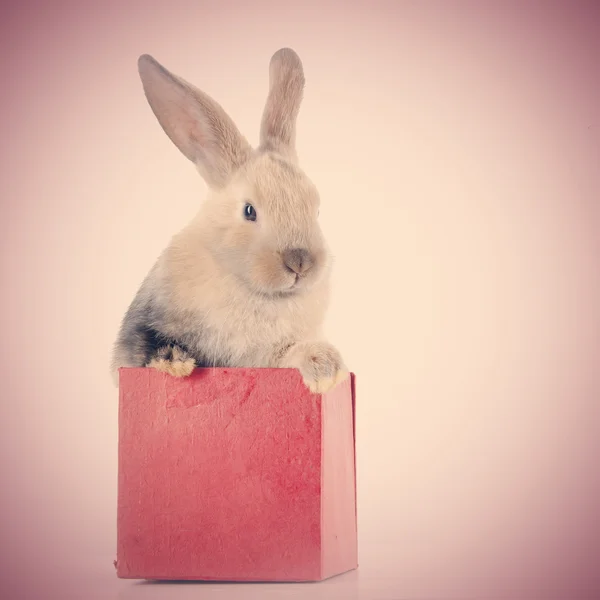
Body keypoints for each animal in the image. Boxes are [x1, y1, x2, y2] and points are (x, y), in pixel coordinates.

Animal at [110, 48, 350, 394]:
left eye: (316, 209)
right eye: (249, 211)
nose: (300, 263)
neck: (255, 293)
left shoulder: (272, 354)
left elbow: (291, 352)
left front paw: (325, 368)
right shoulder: (140, 329)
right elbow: (147, 347)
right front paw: (174, 363)